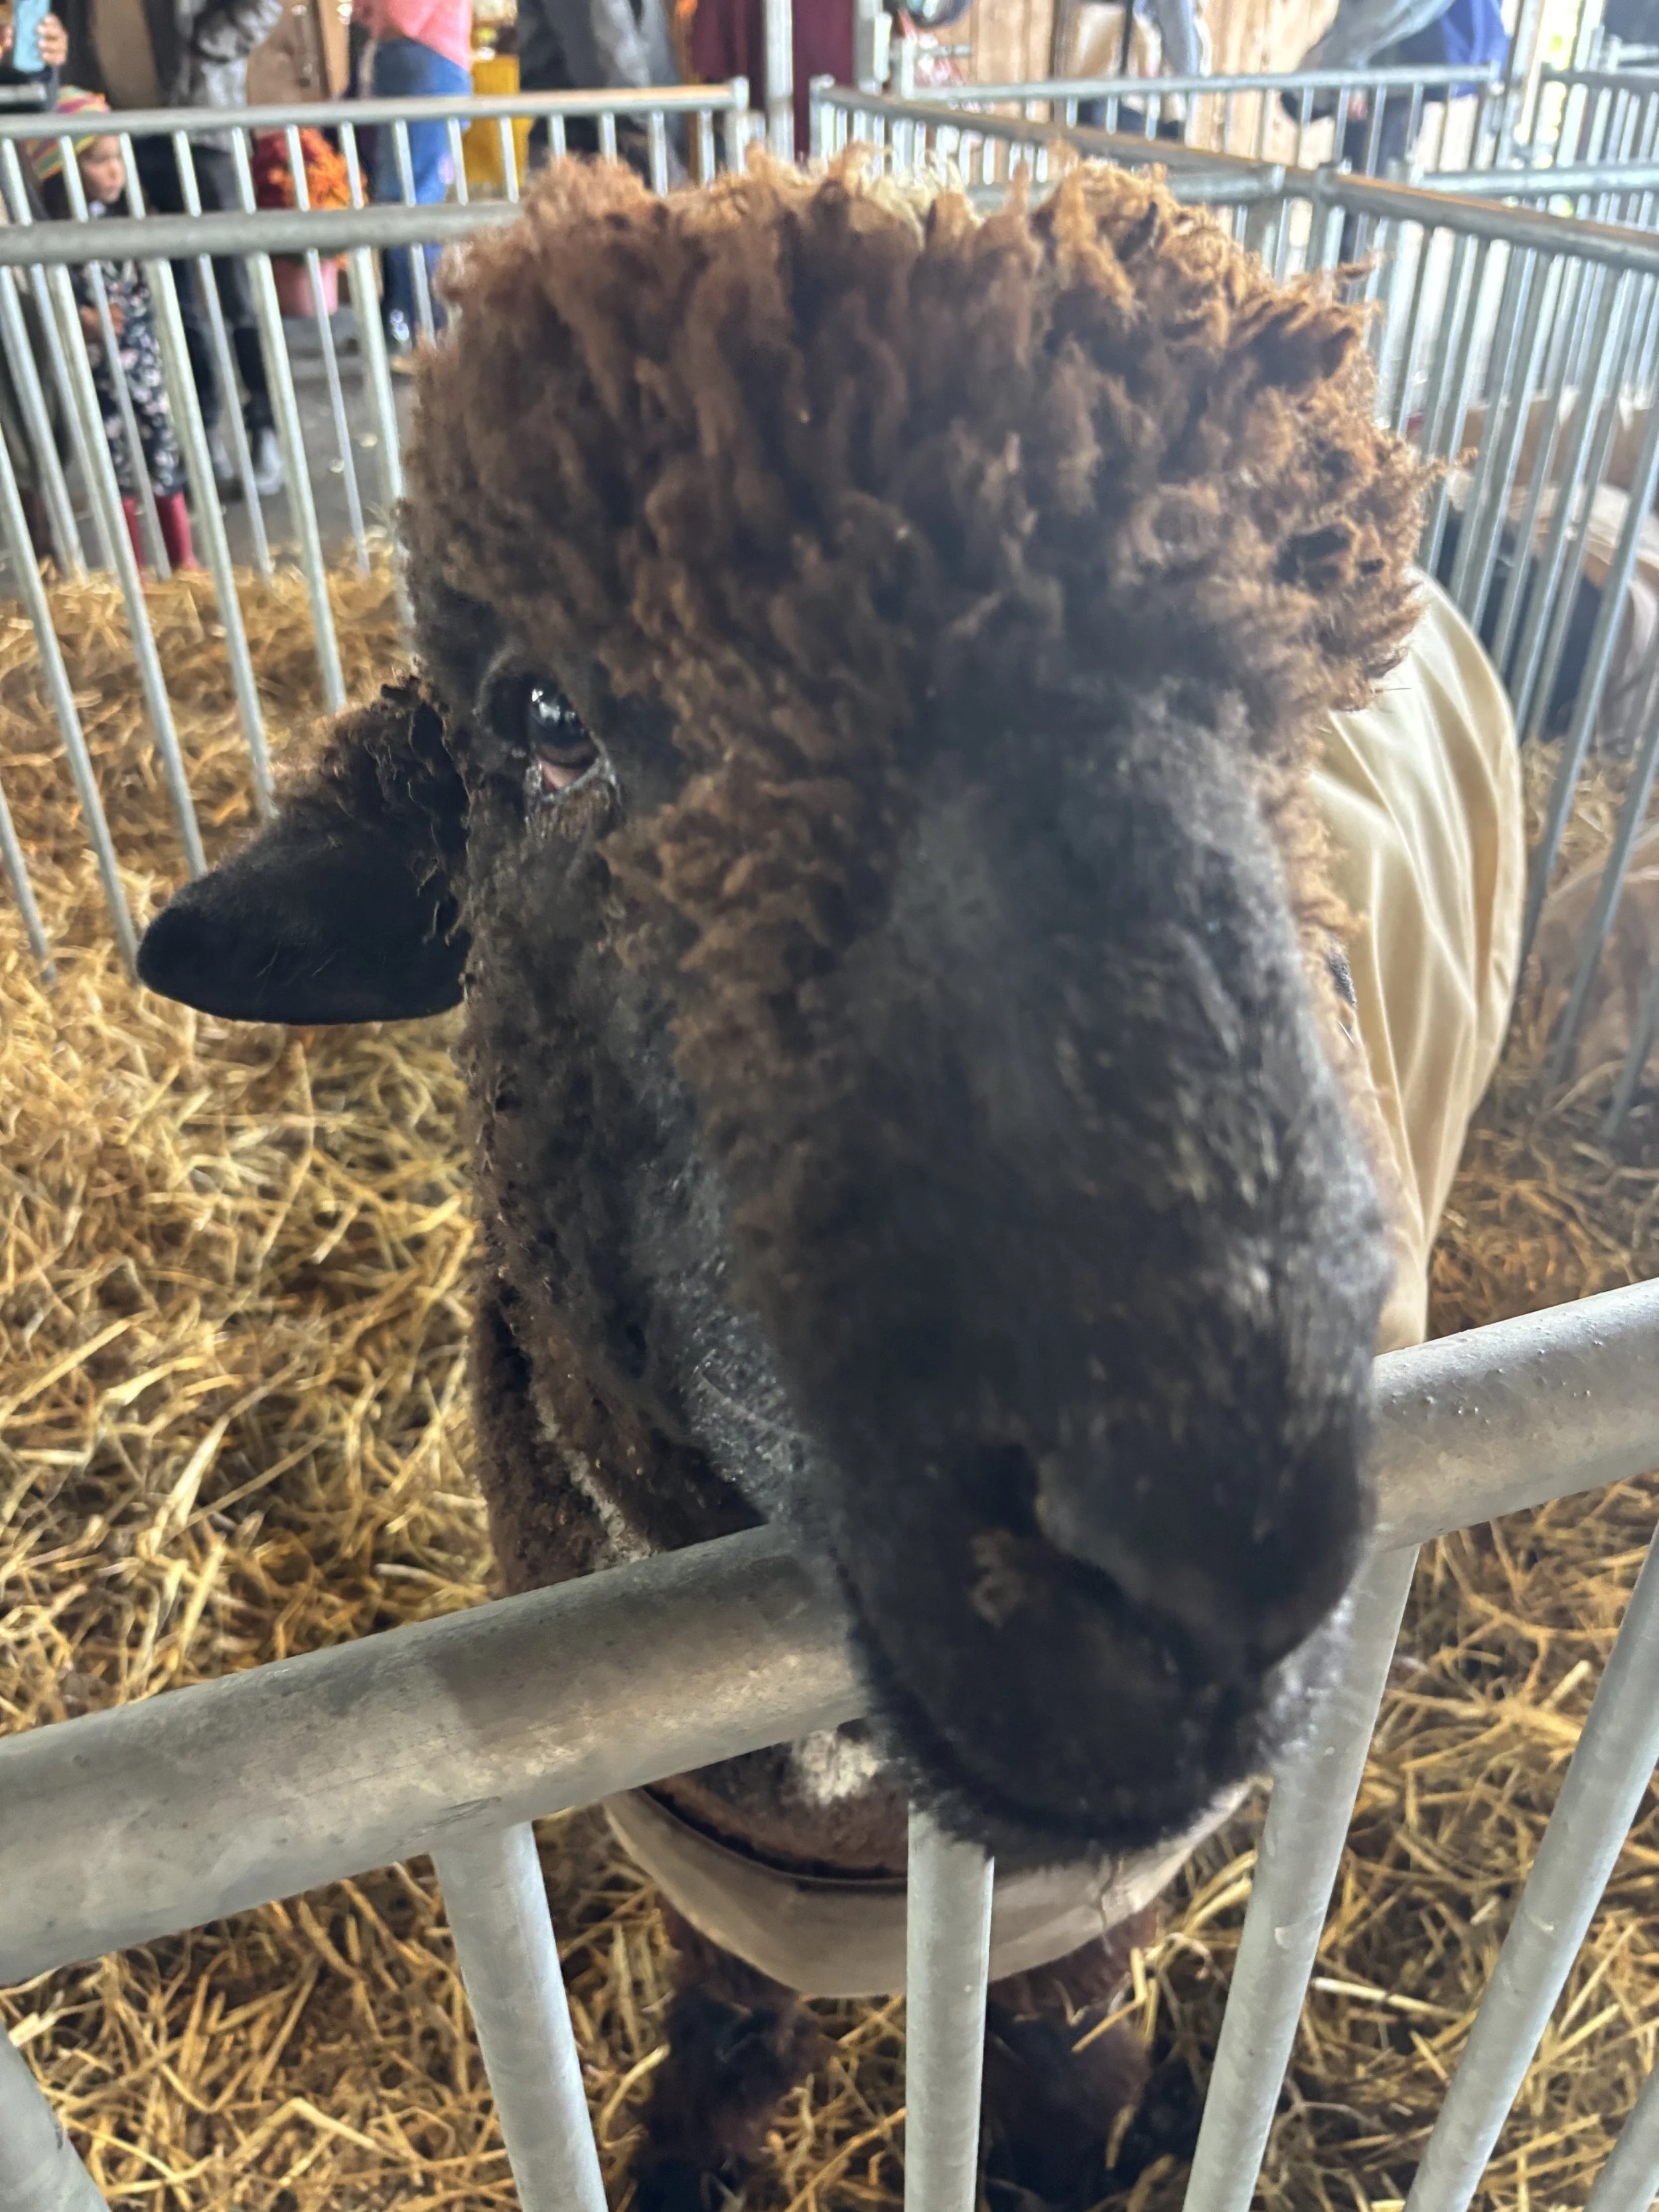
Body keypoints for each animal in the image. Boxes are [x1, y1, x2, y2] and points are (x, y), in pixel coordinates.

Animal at [137, 156, 1524, 2207]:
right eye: (542, 718)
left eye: (1288, 724)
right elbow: (727, 2038)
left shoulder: (1080, 1929)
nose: (1204, 1545)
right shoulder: (713, 1875)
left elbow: (1057, 2098)